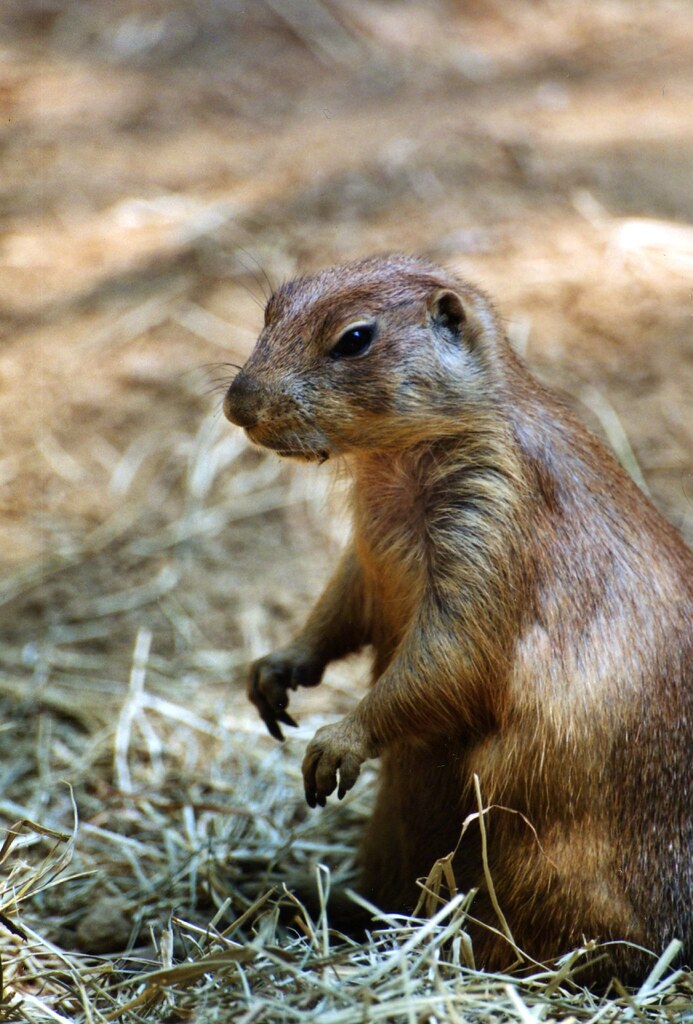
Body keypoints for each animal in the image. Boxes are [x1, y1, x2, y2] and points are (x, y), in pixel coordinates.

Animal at [223, 255, 692, 982]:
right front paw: (272, 674)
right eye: (272, 307)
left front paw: (333, 745)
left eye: (354, 339)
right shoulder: (369, 549)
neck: (392, 465)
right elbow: (343, 601)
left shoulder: (492, 514)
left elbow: (452, 650)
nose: (236, 404)